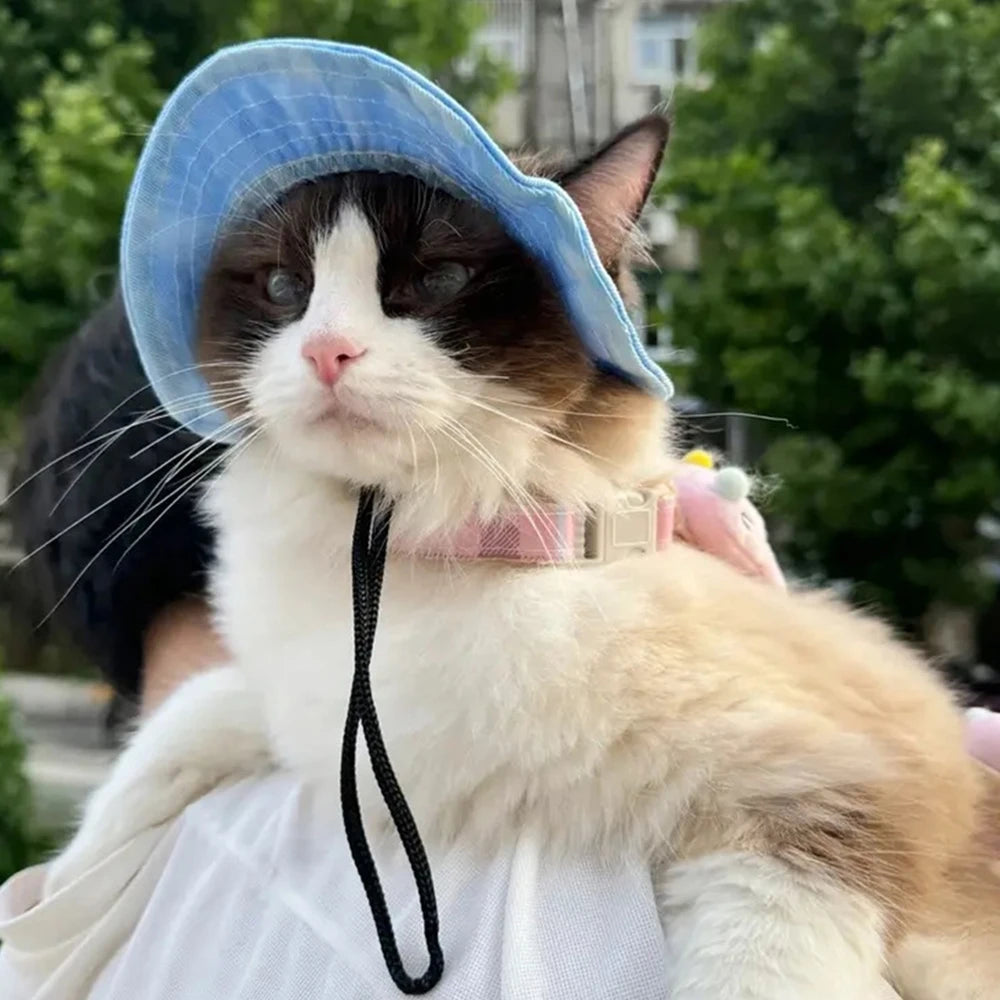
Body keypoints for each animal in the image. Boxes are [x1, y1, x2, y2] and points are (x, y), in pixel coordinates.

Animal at [43, 115, 1000, 992]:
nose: (325, 352)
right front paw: (65, 898)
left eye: (438, 280)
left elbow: (760, 967)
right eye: (285, 287)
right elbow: (184, 724)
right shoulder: (321, 718)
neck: (398, 562)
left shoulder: (841, 784)